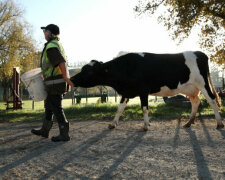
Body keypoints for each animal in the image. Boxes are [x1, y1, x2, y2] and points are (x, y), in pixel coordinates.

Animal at [71, 51, 223, 130]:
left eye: (88, 71)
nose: (71, 79)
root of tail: (199, 53)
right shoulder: (126, 92)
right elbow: (120, 108)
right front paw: (113, 123)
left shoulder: (143, 90)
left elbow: (144, 108)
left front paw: (145, 125)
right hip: (191, 88)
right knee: (196, 102)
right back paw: (189, 122)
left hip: (203, 84)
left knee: (211, 100)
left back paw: (219, 123)